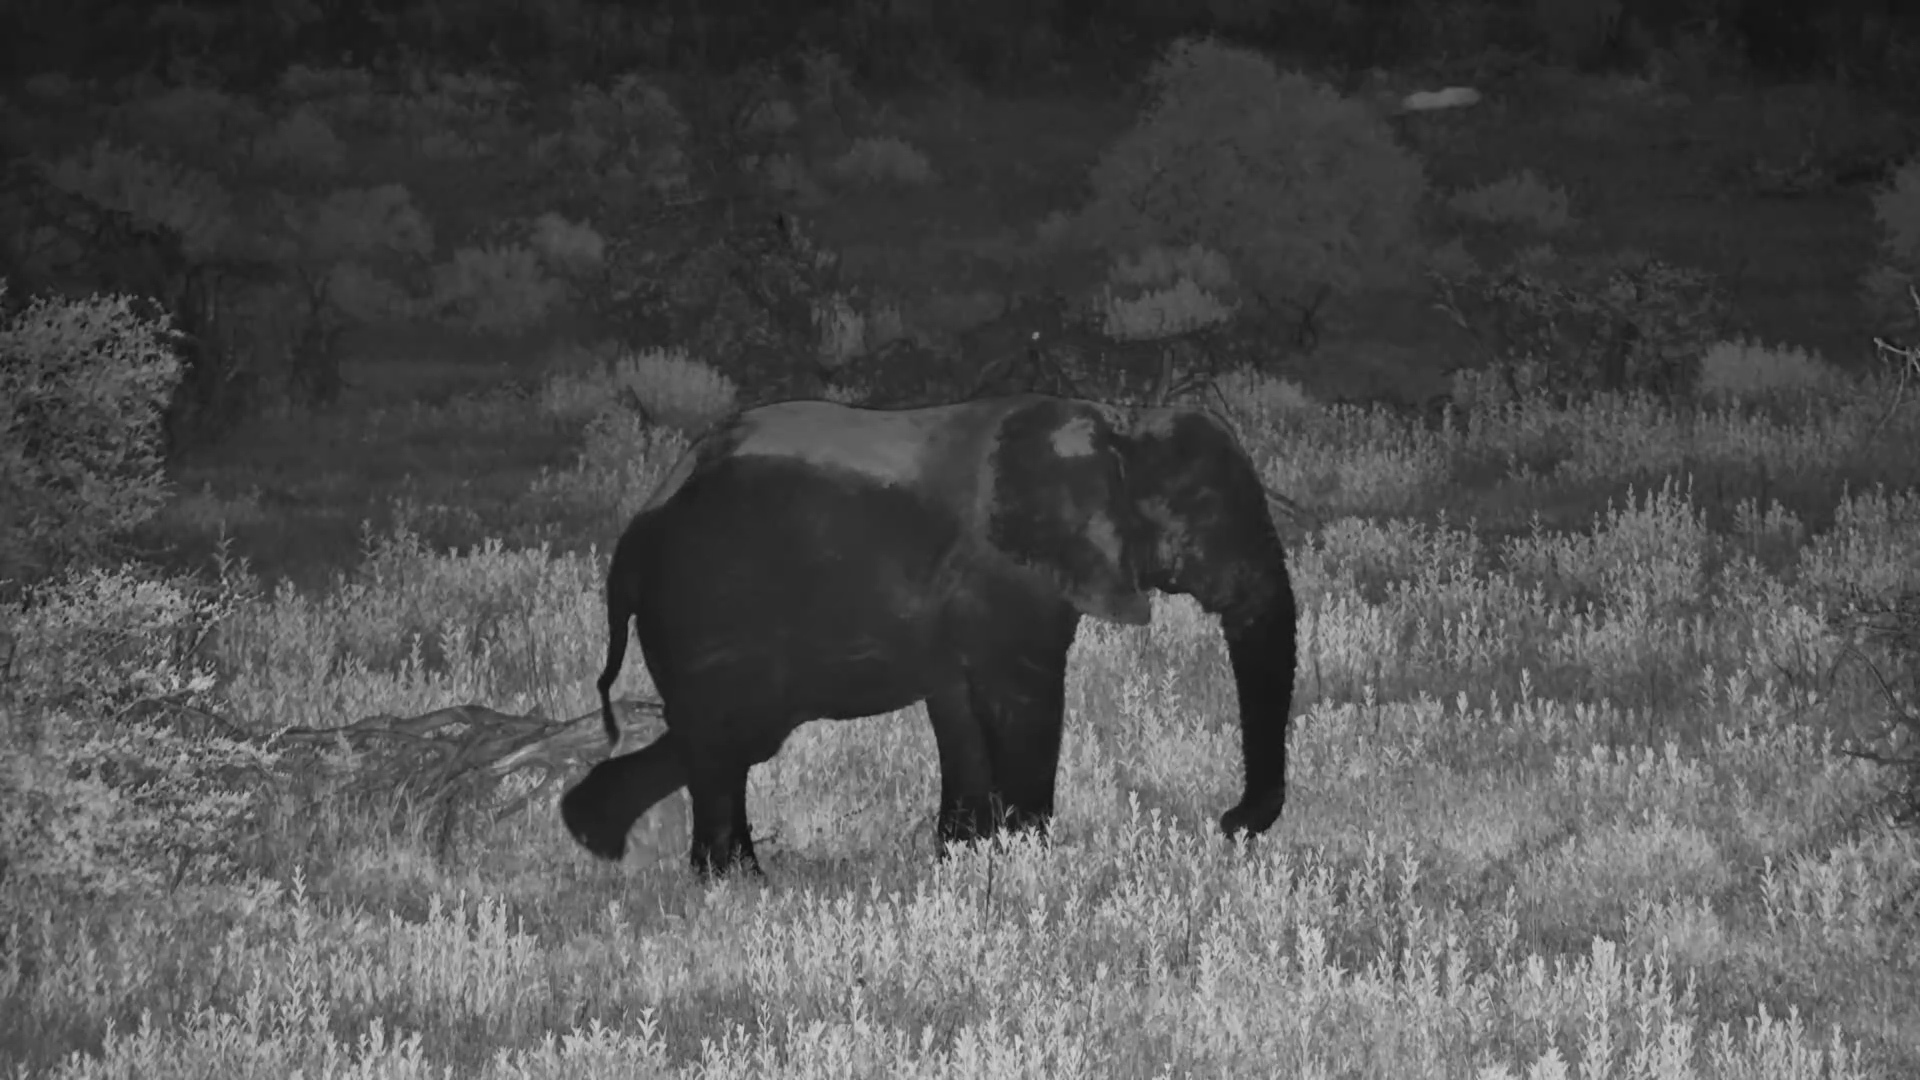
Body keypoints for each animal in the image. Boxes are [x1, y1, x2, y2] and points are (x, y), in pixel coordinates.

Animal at [558, 393, 1299, 877]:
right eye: (1207, 516)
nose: (1229, 823)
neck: (1119, 431)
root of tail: (635, 531)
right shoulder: (1010, 576)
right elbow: (1021, 699)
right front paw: (1030, 858)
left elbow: (961, 705)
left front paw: (964, 855)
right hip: (706, 606)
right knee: (732, 736)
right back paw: (733, 880)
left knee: (721, 736)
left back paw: (596, 834)